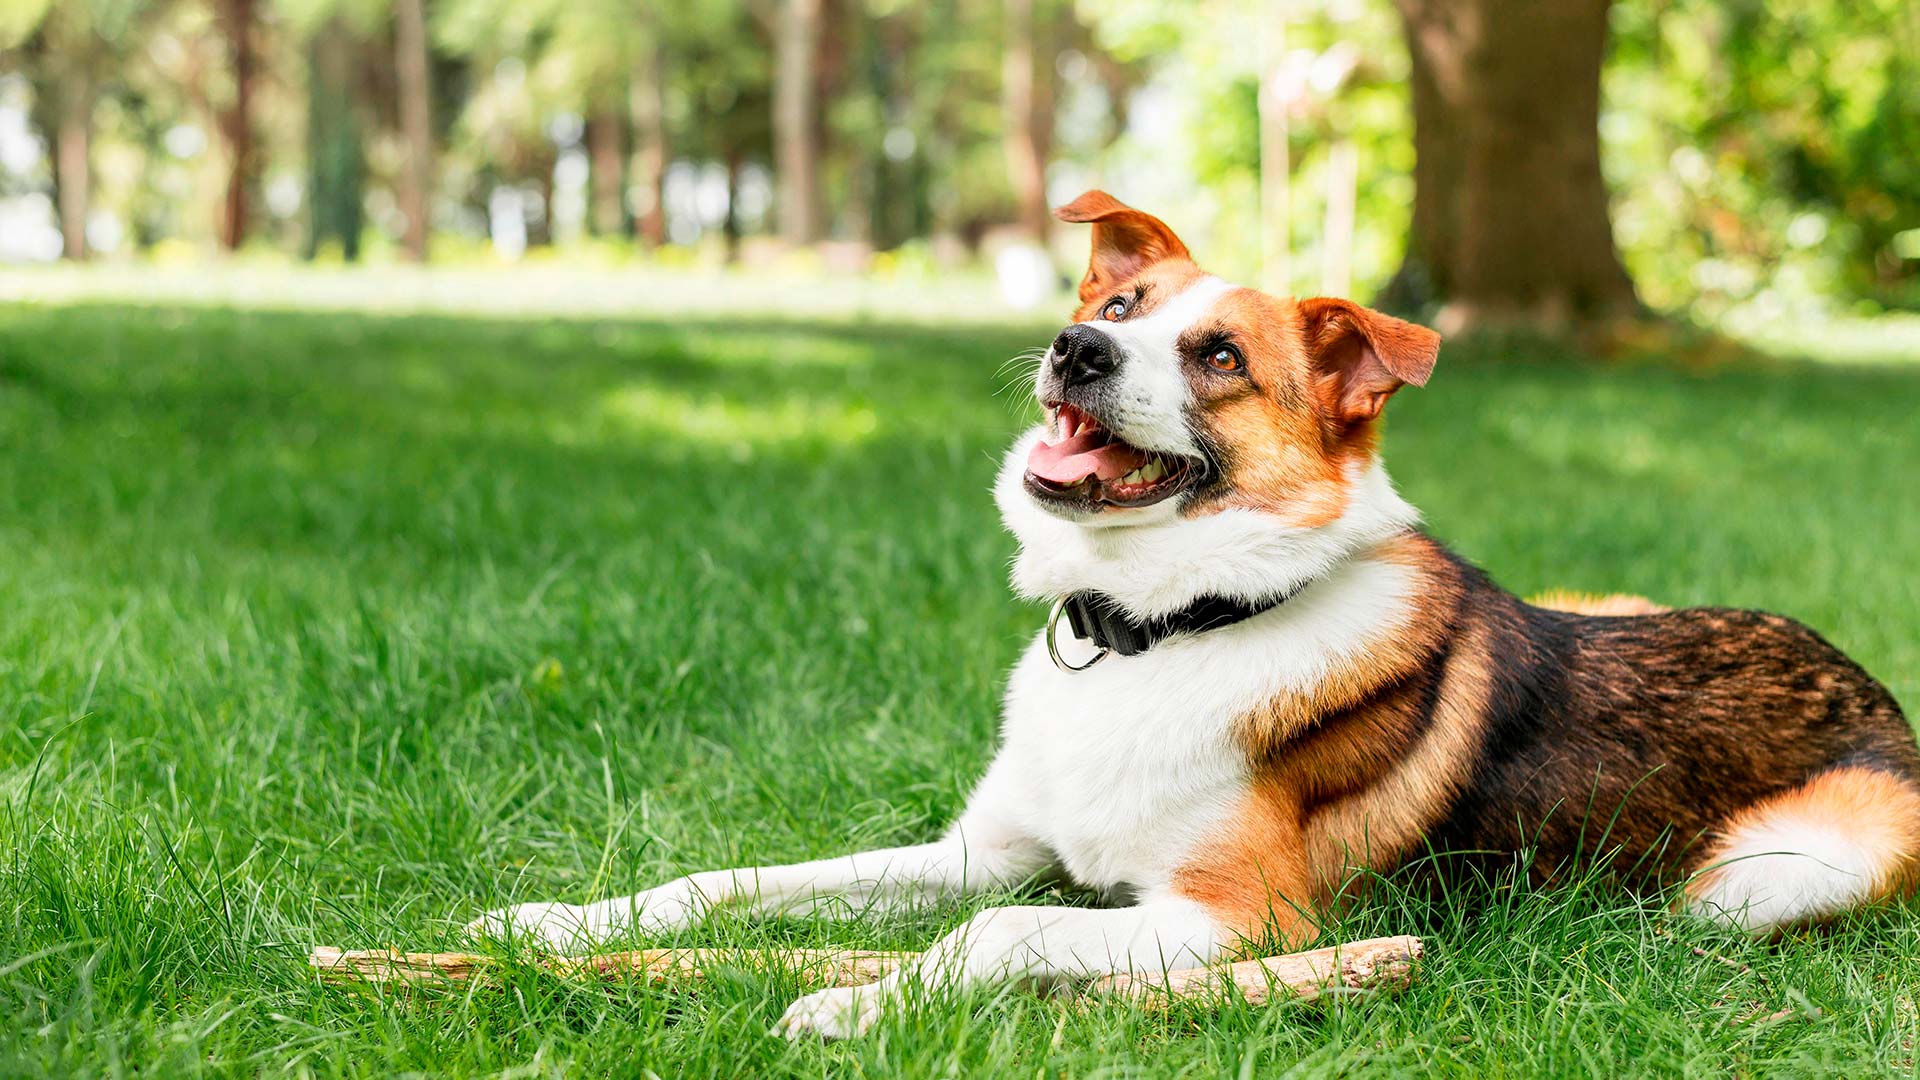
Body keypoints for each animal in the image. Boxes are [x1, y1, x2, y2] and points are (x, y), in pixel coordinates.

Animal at [468, 191, 1920, 1037]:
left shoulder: (1238, 919)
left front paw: (861, 1007)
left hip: (1770, 872)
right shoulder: (987, 850)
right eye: (1116, 306)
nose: (1075, 349)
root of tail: (1868, 682)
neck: (1157, 627)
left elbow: (1000, 935)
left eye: (1219, 357)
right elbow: (727, 882)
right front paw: (551, 930)